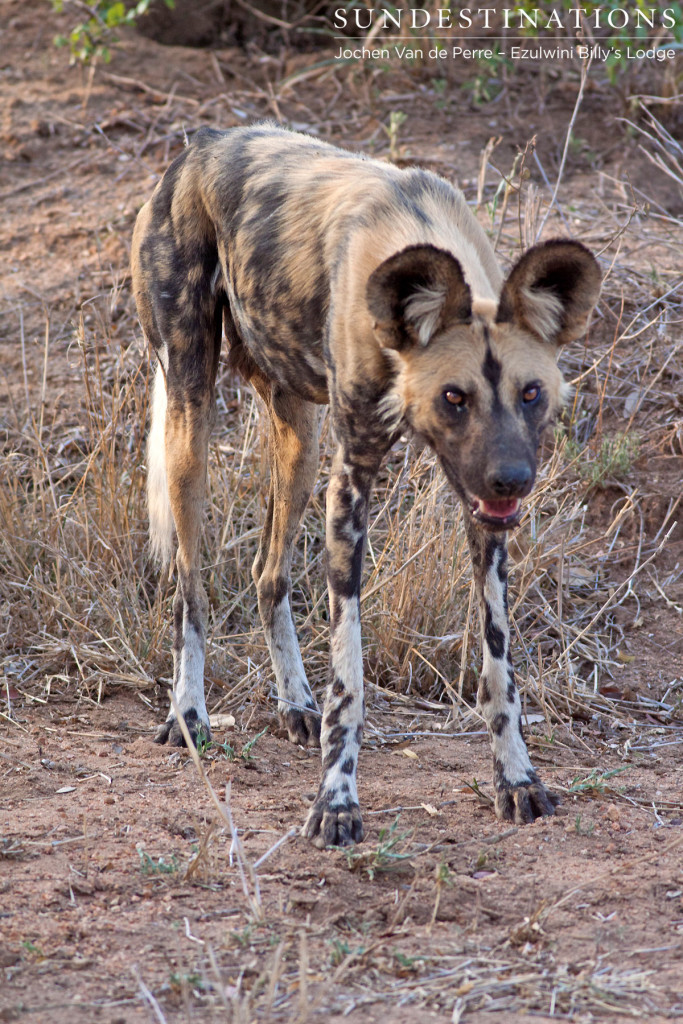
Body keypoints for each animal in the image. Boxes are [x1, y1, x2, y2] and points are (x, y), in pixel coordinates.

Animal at [131, 121, 602, 847]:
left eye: (530, 394)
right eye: (454, 398)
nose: (512, 480)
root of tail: (201, 143)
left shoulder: (481, 520)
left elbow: (500, 670)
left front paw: (517, 780)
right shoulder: (349, 491)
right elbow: (349, 681)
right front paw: (336, 803)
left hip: (298, 440)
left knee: (268, 575)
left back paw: (294, 701)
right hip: (191, 422)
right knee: (191, 588)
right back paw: (189, 713)